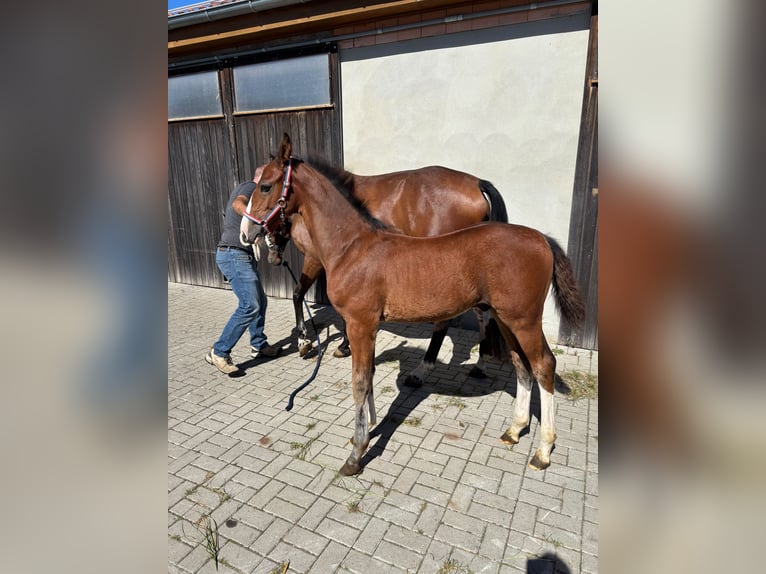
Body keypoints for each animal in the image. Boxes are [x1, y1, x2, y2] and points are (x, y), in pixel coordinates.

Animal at [243, 148, 508, 387]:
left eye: (264, 186)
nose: (246, 233)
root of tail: (476, 183)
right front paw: (343, 345)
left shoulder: (314, 258)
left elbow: (298, 294)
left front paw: (305, 342)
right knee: (483, 313)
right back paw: (480, 364)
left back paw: (421, 371)